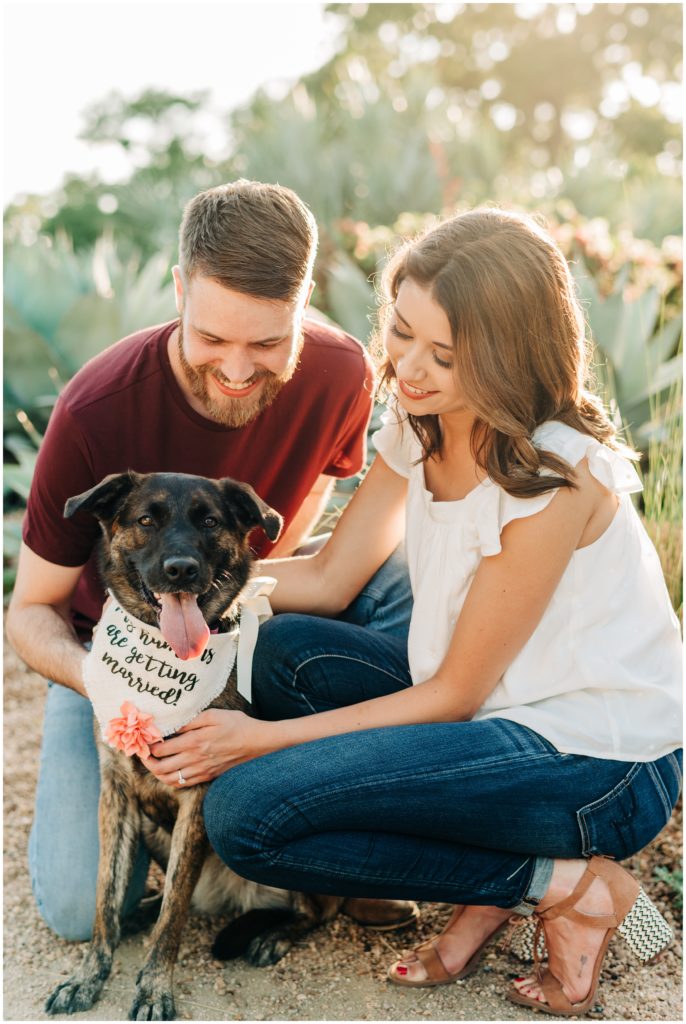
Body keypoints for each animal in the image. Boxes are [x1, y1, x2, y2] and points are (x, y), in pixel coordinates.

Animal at [40, 468, 350, 1015]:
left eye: (209, 522)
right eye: (146, 520)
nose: (181, 570)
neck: (163, 653)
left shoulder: (198, 797)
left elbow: (175, 913)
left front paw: (154, 988)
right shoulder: (115, 794)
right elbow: (103, 897)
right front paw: (87, 976)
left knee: (321, 908)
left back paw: (273, 935)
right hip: (150, 829)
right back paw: (139, 910)